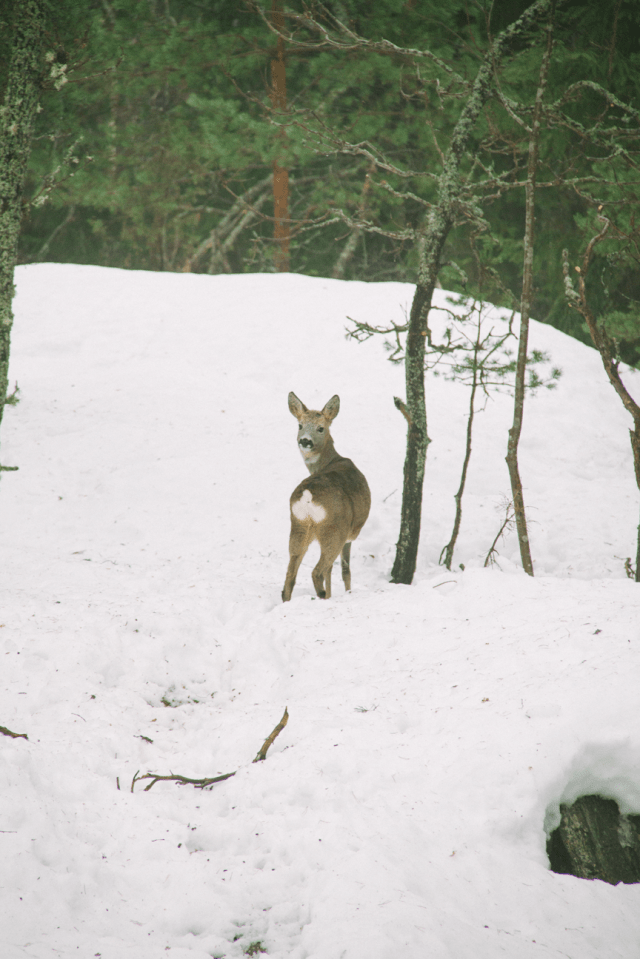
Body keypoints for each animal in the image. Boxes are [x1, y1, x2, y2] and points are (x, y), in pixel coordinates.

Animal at [282, 392, 371, 602]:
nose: (305, 440)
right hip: (334, 530)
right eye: (300, 425)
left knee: (290, 575)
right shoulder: (349, 535)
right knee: (318, 571)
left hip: (298, 526)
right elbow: (345, 570)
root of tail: (308, 496)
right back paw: (323, 595)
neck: (331, 460)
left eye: (320, 428)